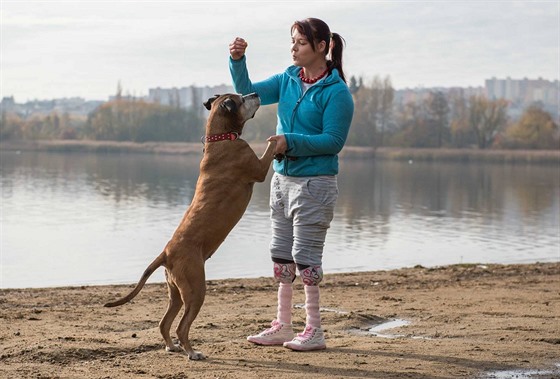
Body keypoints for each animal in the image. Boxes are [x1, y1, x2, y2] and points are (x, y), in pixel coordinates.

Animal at [104, 93, 276, 360]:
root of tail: (166, 252)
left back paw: (172, 346)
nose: (255, 93)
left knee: (164, 323)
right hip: (196, 291)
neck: (220, 138)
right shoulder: (258, 168)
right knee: (182, 326)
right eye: (241, 99)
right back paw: (191, 351)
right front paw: (279, 140)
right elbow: (270, 150)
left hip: (176, 292)